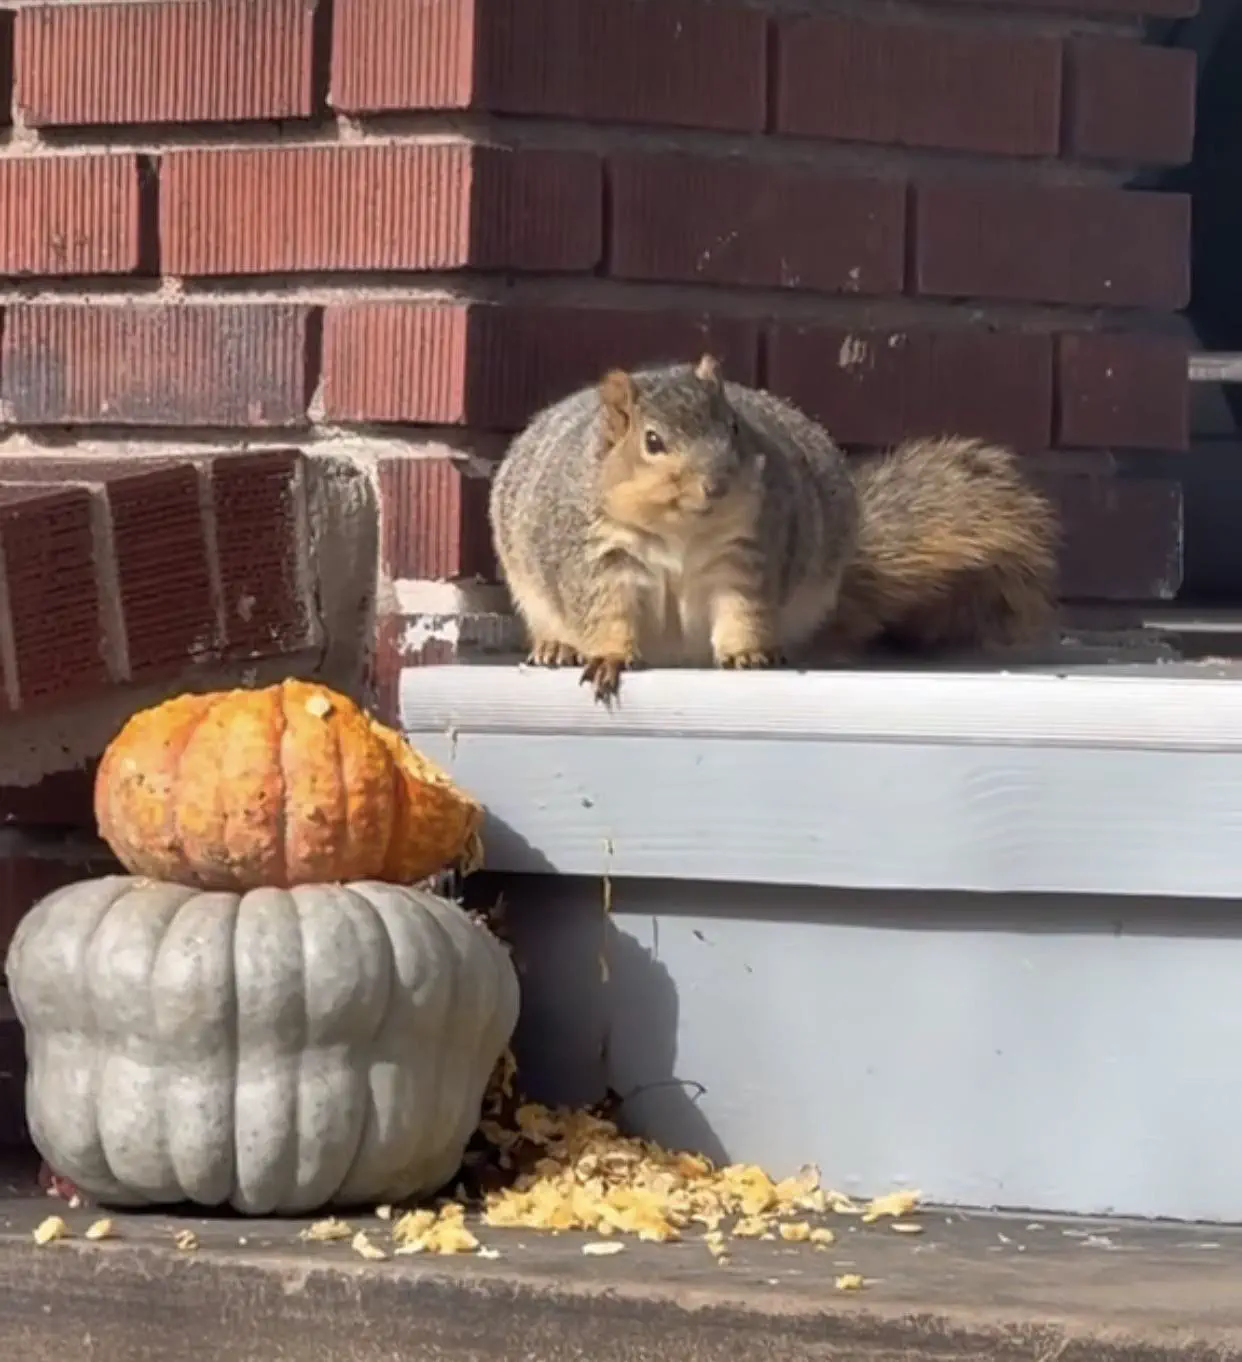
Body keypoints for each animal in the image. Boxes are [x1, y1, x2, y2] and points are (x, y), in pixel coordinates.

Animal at [488, 355, 1059, 702]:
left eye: (734, 428)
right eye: (652, 441)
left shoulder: (746, 552)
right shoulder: (599, 556)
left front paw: (748, 652)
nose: (717, 484)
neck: (681, 531)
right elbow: (605, 610)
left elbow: (743, 606)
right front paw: (607, 656)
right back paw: (556, 647)